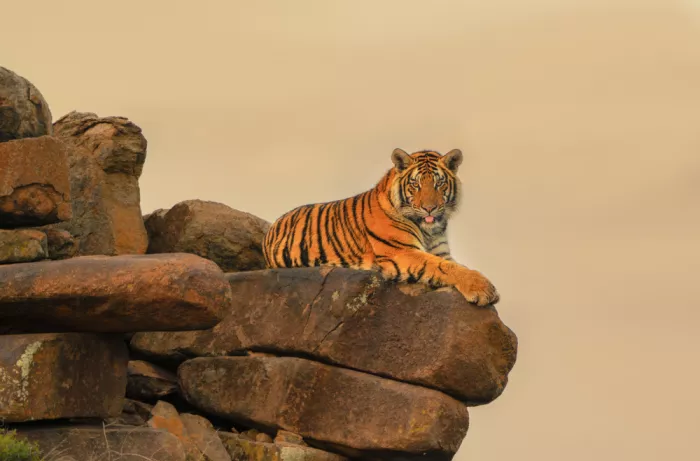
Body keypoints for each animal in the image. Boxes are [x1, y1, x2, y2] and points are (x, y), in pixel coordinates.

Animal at [262, 148, 499, 306]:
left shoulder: (441, 251)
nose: (429, 208)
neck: (429, 230)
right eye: (416, 184)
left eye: (439, 183)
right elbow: (443, 267)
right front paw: (483, 289)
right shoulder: (402, 251)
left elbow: (458, 266)